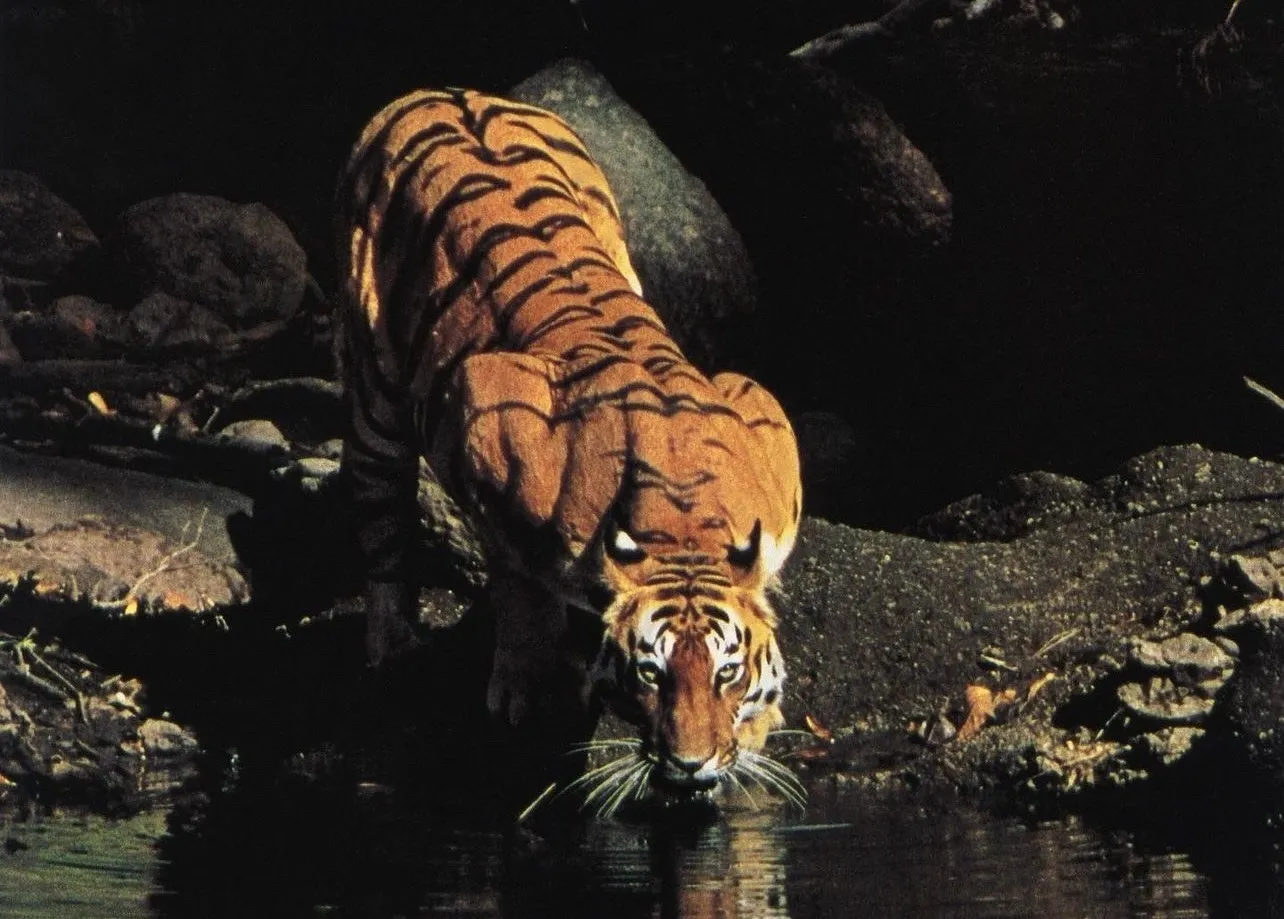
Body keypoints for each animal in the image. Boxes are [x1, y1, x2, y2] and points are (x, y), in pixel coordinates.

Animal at [336, 88, 802, 798]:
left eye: (727, 672)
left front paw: (756, 725)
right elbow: (517, 574)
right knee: (380, 516)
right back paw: (395, 645)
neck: (682, 530)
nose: (691, 765)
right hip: (375, 396)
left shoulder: (763, 417)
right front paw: (531, 686)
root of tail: (437, 93)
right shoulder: (486, 413)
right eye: (651, 673)